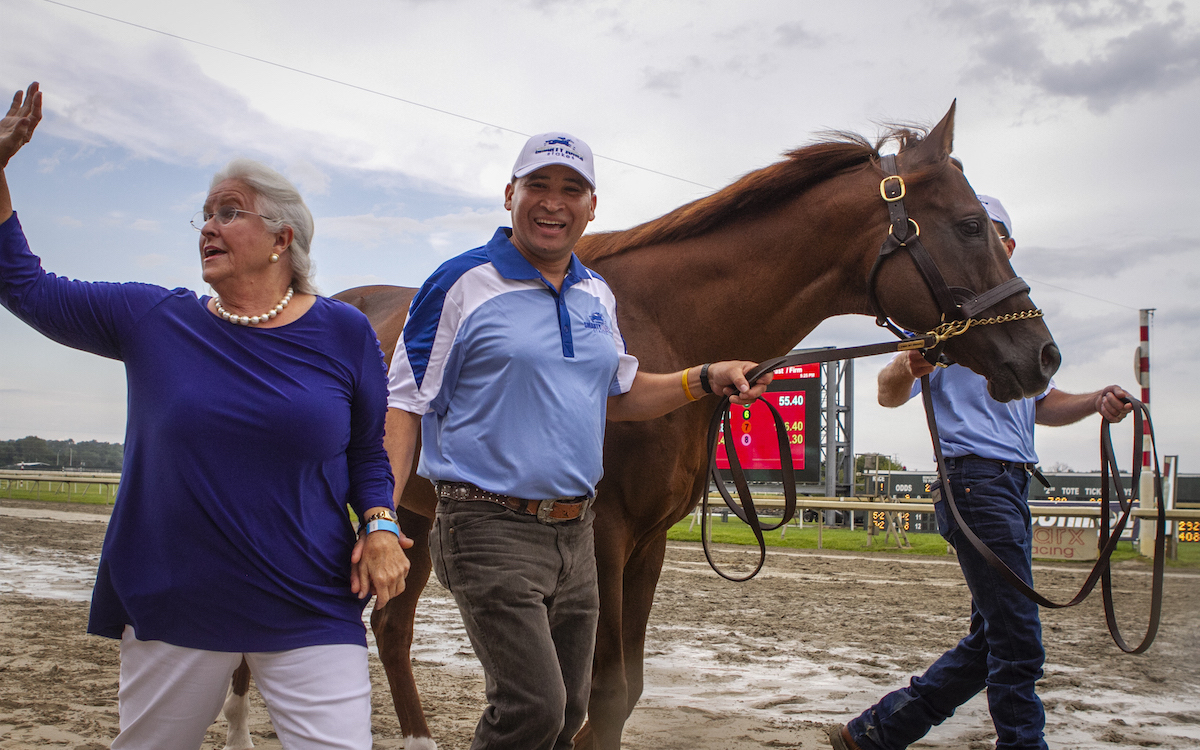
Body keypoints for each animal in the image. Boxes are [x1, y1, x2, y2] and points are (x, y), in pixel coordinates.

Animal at [218, 105, 1060, 748]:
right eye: (971, 226)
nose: (1041, 356)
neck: (663, 323)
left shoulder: (649, 540)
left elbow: (617, 694)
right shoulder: (606, 534)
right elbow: (590, 695)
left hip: (415, 522)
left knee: (392, 631)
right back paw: (236, 724)